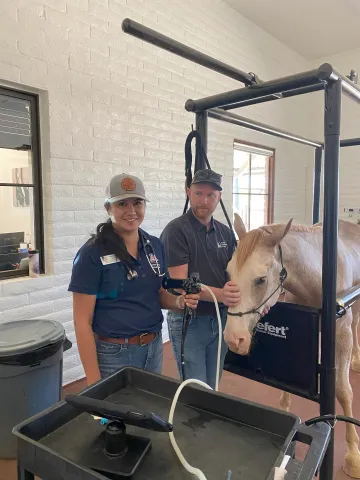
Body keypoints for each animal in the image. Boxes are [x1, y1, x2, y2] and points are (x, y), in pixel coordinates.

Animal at [224, 216, 360, 478]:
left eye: (261, 279)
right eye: (229, 272)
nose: (234, 339)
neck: (318, 275)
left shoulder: (343, 333)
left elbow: (343, 391)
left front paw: (353, 454)